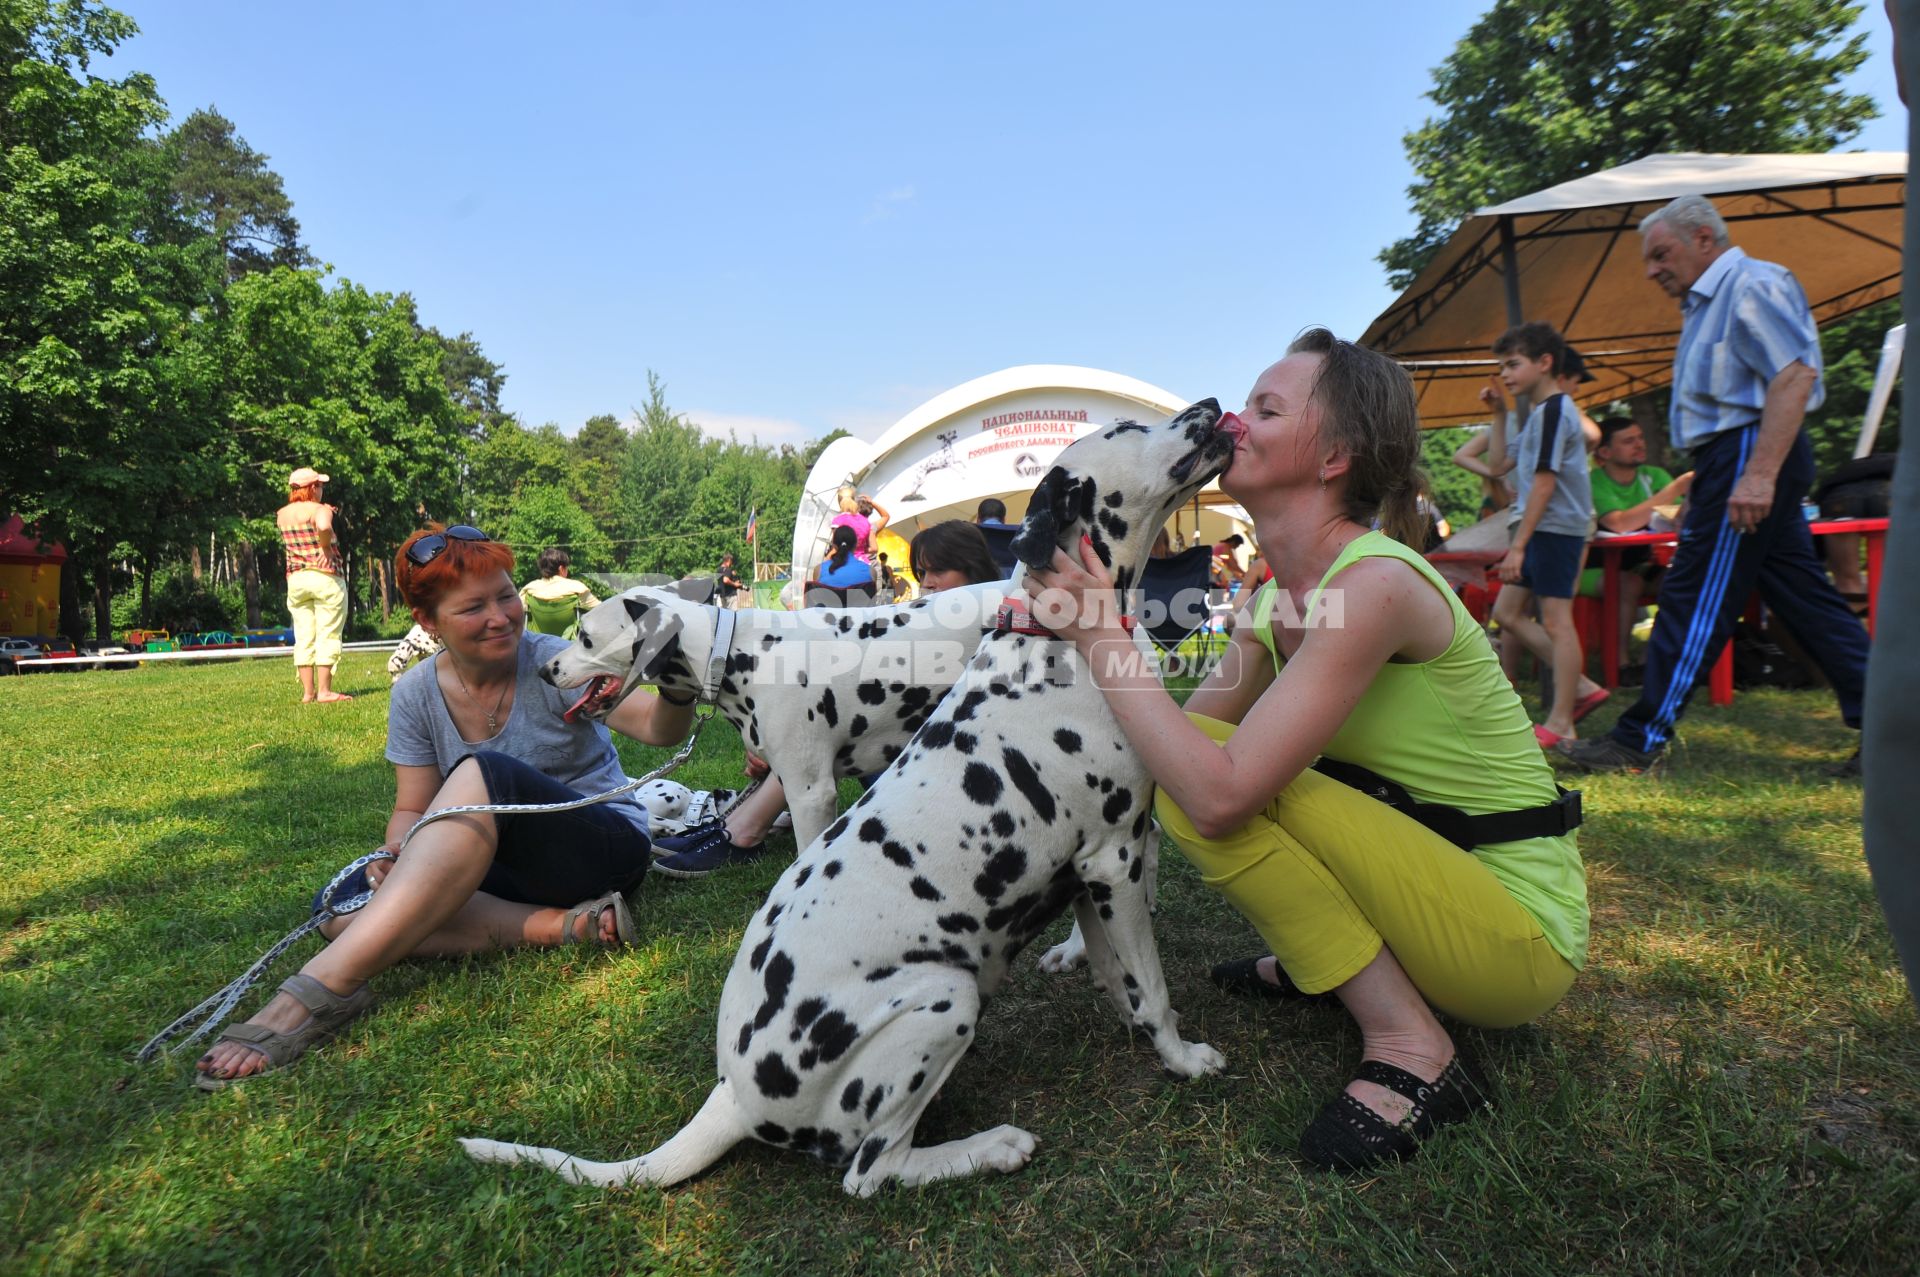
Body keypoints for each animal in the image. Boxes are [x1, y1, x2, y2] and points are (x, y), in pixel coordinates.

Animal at [460, 395, 1228, 1198]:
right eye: (1128, 431)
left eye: (583, 634)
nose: (1209, 405)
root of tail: (732, 1096)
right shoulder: (1107, 858)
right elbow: (1150, 985)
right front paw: (1182, 1056)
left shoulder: (1094, 863)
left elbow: (1126, 977)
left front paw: (1142, 1025)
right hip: (947, 996)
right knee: (870, 1171)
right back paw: (989, 1147)